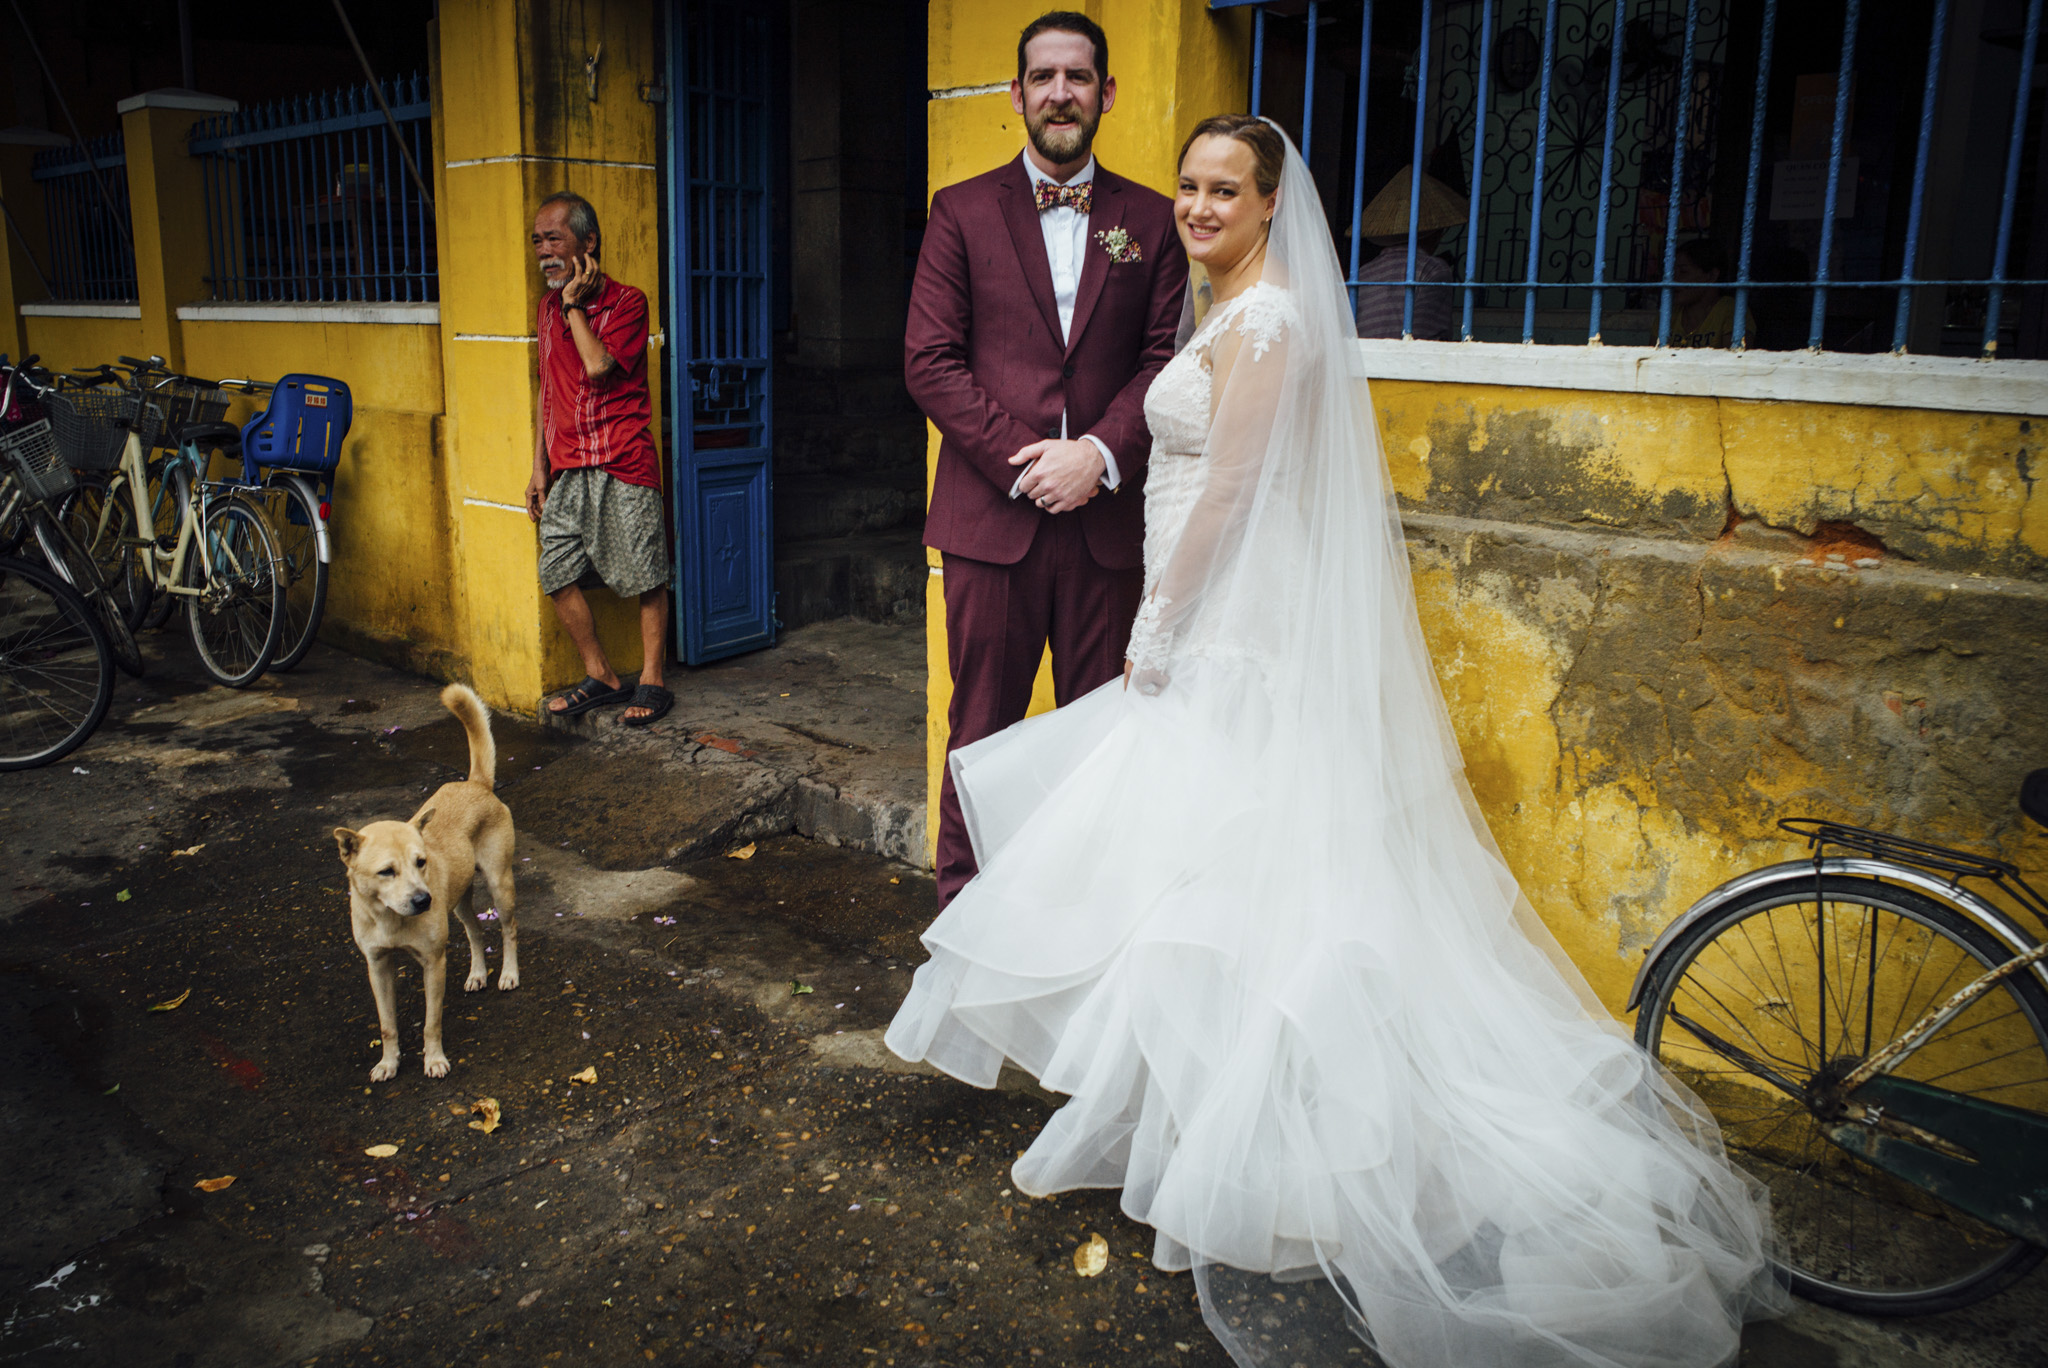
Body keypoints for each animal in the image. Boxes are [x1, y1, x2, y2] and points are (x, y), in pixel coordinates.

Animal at [331, 684, 516, 1081]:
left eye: (421, 862)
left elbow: (432, 1022)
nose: (423, 900)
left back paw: (509, 974)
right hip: (458, 901)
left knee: (508, 930)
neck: (390, 919)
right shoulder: (377, 966)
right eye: (386, 871)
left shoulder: (434, 963)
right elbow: (387, 1024)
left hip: (500, 884)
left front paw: (434, 1060)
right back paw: (478, 973)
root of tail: (475, 783)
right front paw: (388, 1063)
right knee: (475, 931)